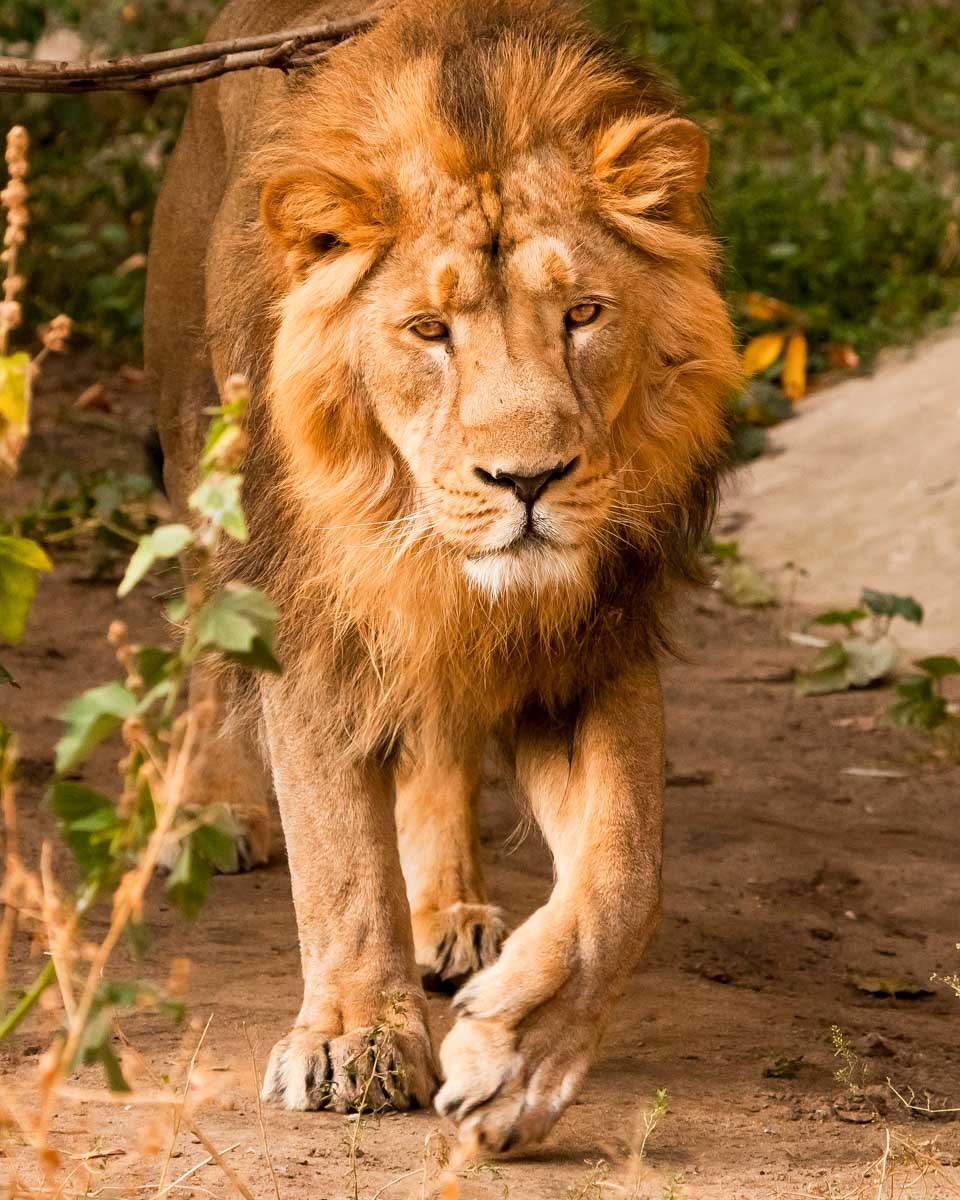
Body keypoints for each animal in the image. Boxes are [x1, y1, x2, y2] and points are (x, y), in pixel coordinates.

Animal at [145, 0, 739, 1150]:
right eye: (429, 331)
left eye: (584, 314)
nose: (529, 480)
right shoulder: (312, 620)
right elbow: (338, 856)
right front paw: (354, 1043)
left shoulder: (589, 644)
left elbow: (626, 872)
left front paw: (519, 1061)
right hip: (202, 457)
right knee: (201, 634)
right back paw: (211, 815)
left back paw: (450, 911)